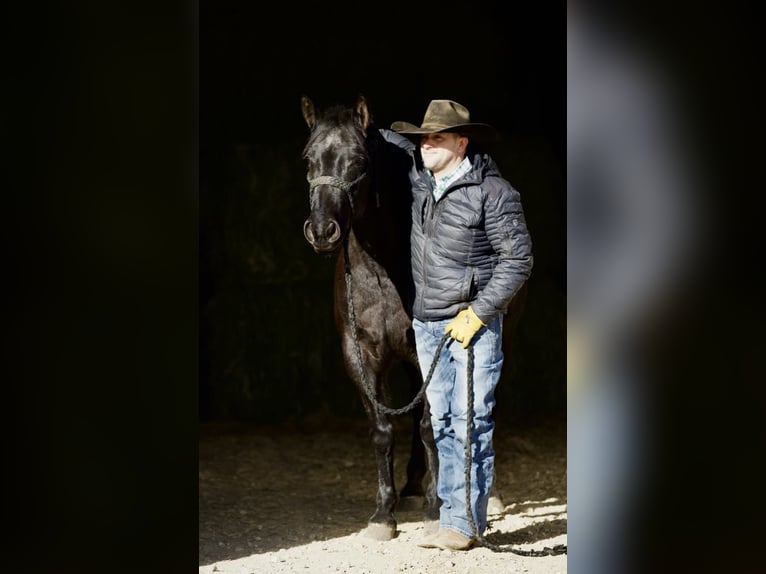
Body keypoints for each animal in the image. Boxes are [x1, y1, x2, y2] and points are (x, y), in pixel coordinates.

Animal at [304, 95, 440, 544]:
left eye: (358, 161)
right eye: (308, 158)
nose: (322, 232)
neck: (384, 271)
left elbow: (431, 426)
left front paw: (437, 509)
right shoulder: (359, 355)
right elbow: (383, 431)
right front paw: (384, 514)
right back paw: (413, 487)